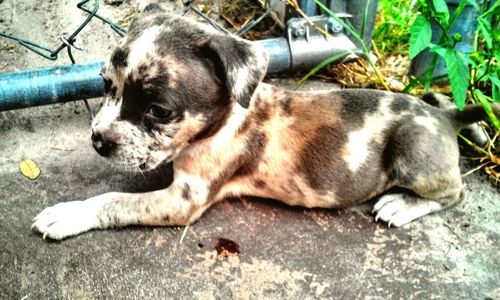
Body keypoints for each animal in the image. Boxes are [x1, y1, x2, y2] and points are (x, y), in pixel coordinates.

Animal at [33, 4, 498, 239]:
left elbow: (114, 200)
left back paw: (401, 205)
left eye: (159, 111)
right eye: (105, 83)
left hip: (413, 149)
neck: (221, 121)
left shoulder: (183, 200)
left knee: (454, 192)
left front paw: (68, 215)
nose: (97, 140)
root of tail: (446, 115)